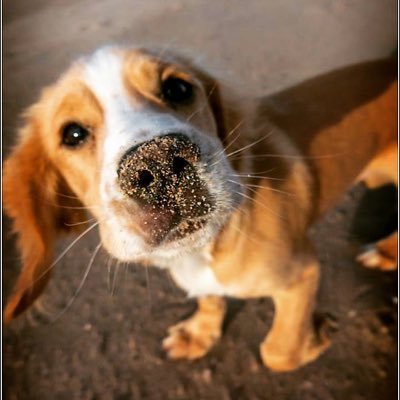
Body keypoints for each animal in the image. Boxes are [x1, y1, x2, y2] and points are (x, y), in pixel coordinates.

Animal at [3, 45, 396, 370]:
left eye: (178, 89)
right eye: (72, 134)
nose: (159, 162)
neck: (205, 249)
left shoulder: (303, 273)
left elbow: (277, 352)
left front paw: (317, 337)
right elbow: (210, 298)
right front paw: (200, 333)